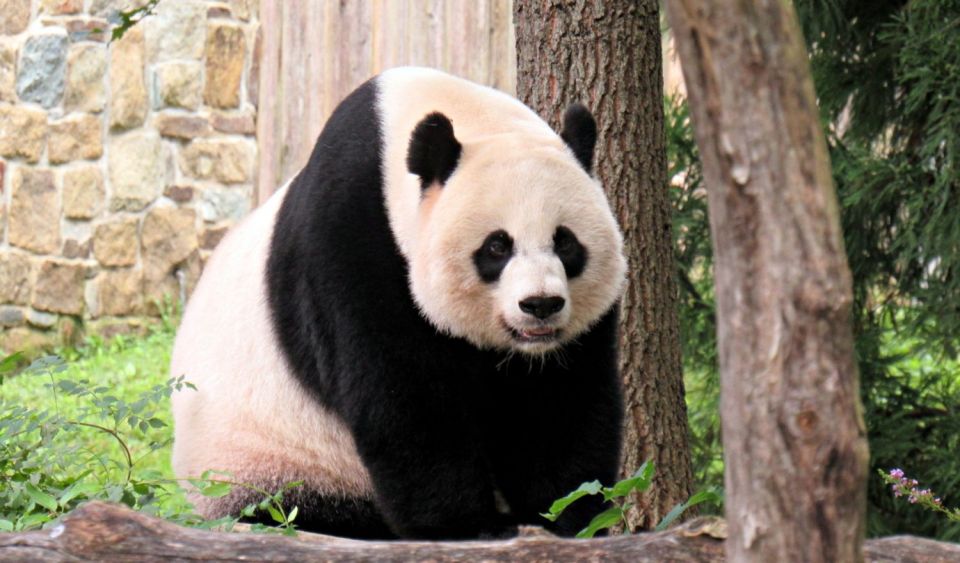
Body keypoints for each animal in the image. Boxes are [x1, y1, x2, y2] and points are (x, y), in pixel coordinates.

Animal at [171, 67, 627, 540]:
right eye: (497, 246)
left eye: (565, 242)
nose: (540, 305)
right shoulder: (352, 249)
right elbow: (406, 403)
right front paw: (470, 527)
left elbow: (559, 405)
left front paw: (566, 517)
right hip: (270, 463)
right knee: (299, 508)